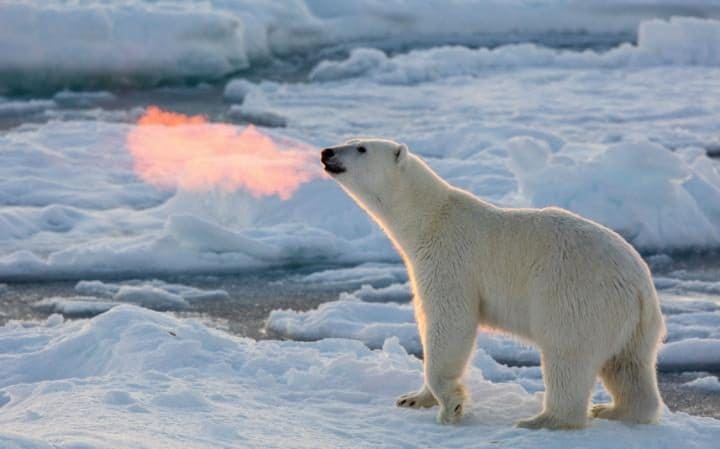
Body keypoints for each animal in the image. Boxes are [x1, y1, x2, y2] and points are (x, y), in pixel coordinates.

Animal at [320, 138, 664, 428]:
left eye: (361, 148)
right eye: (350, 140)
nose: (326, 152)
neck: (429, 218)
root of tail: (640, 287)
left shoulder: (450, 258)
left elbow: (450, 321)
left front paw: (451, 406)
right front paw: (413, 398)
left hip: (578, 297)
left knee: (568, 356)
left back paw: (543, 420)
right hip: (634, 325)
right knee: (628, 366)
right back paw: (614, 410)